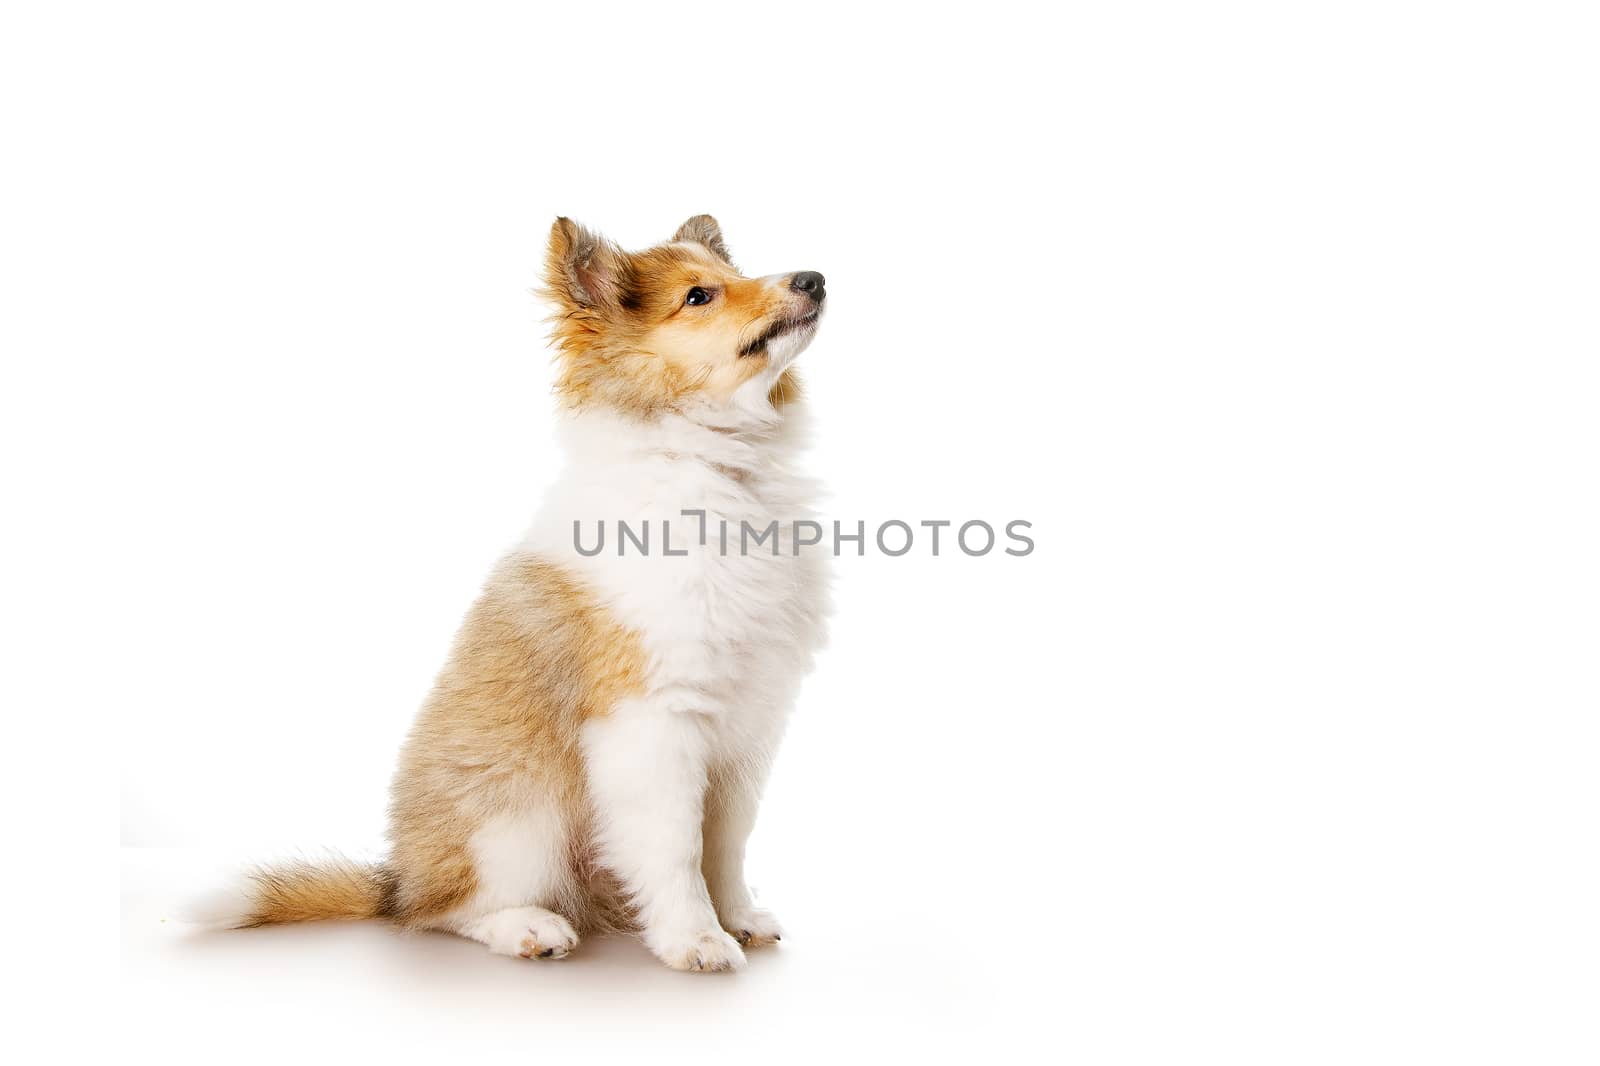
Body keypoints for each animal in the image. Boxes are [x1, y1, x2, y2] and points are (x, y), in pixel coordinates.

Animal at [212, 216, 832, 973]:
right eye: (699, 296)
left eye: (726, 278)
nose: (814, 280)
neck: (715, 468)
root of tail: (397, 878)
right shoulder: (653, 720)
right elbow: (677, 848)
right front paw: (696, 939)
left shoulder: (749, 725)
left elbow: (726, 843)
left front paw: (736, 918)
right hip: (519, 821)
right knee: (445, 911)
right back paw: (528, 929)